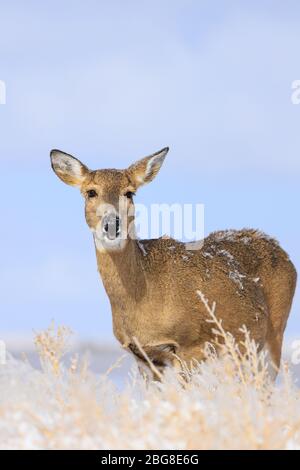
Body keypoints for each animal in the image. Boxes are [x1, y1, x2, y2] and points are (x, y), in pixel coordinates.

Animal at [50, 147, 296, 378]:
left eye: (129, 193)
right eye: (91, 192)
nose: (112, 224)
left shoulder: (191, 344)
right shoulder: (145, 357)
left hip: (274, 335)